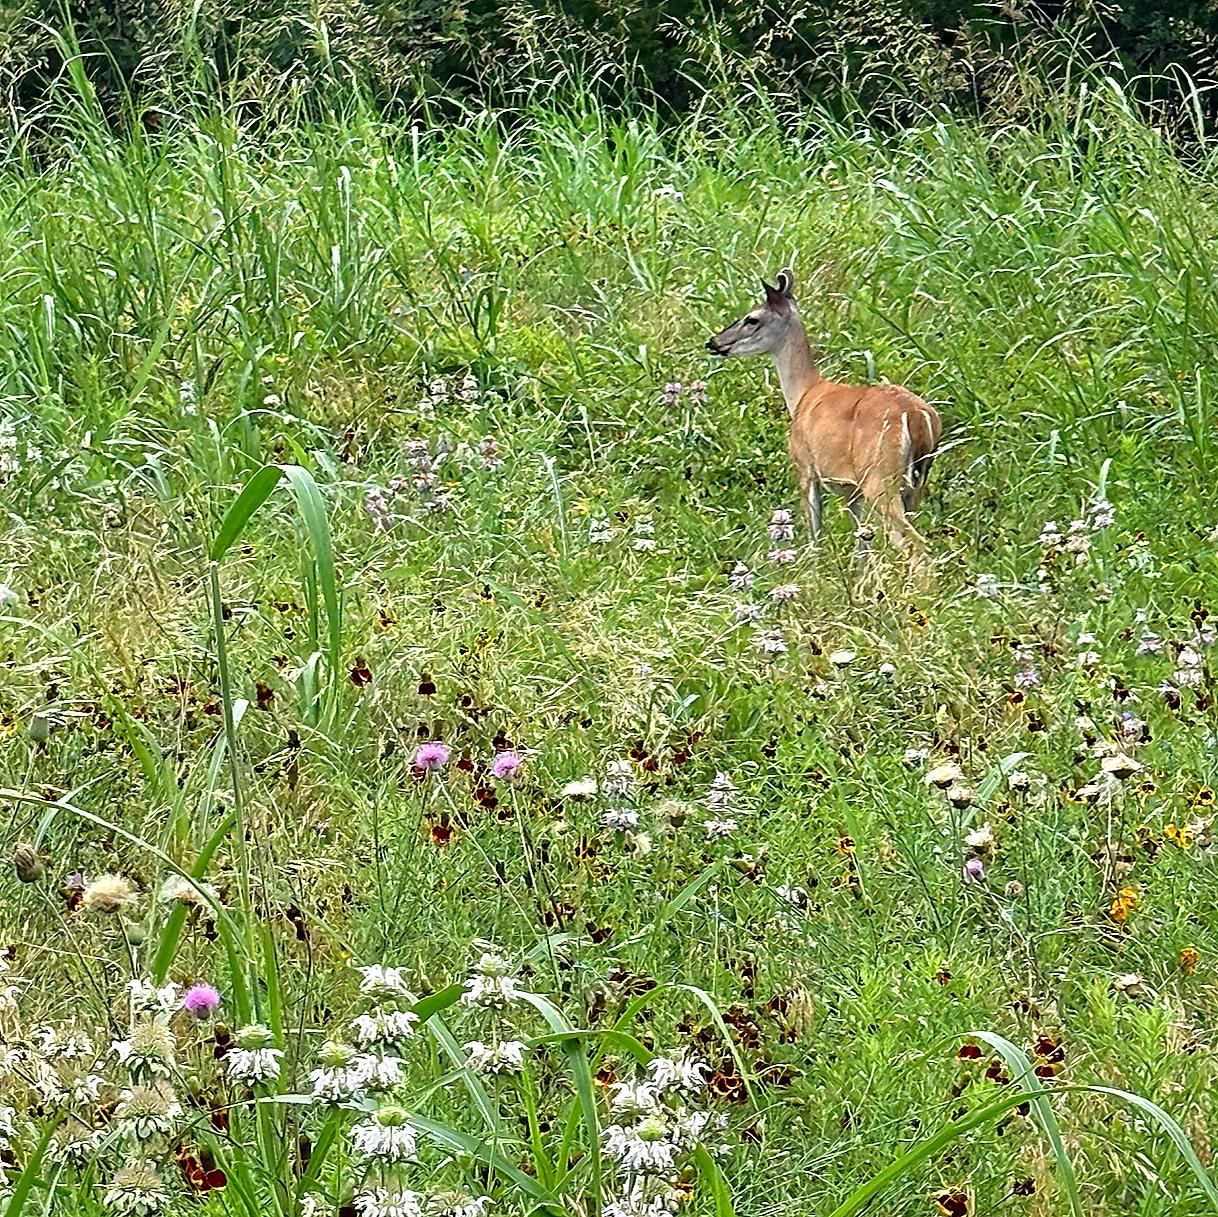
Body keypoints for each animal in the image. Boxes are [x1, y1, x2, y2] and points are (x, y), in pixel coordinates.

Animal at [706, 268, 941, 567]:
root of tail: (916, 416)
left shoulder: (805, 465)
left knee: (915, 544)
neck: (803, 393)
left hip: (879, 476)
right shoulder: (851, 488)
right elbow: (862, 545)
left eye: (752, 319)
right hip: (916, 481)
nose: (714, 342)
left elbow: (814, 533)